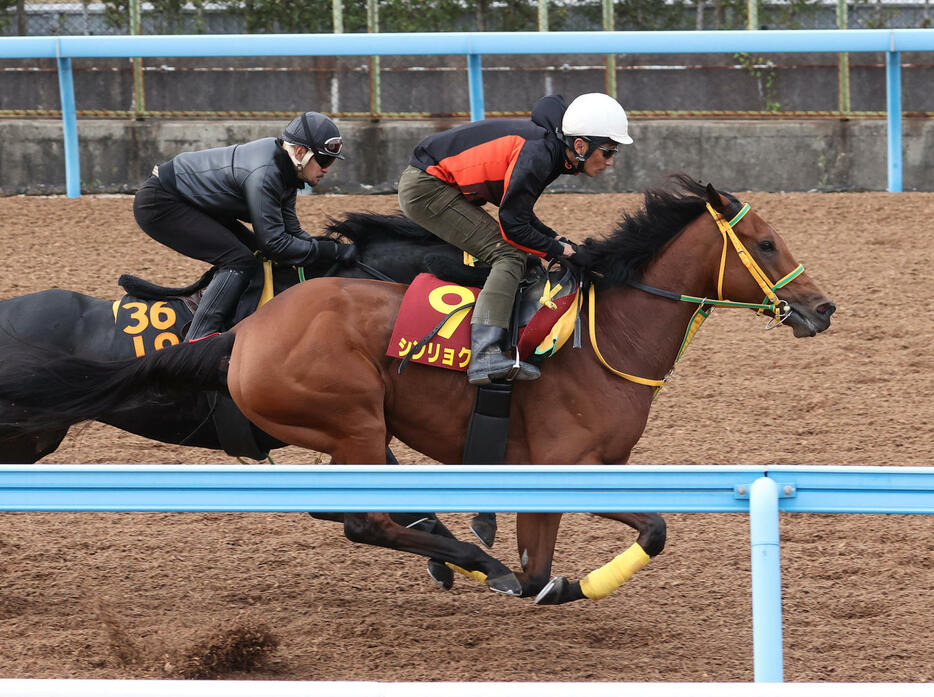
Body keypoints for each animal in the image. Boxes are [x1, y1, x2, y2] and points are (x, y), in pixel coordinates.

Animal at [0, 175, 832, 604]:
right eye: (765, 244)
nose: (821, 307)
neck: (603, 335)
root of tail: (243, 334)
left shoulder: (573, 469)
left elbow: (637, 532)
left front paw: (544, 575)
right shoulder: (559, 464)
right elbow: (571, 554)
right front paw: (522, 572)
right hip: (353, 421)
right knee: (361, 520)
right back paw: (474, 560)